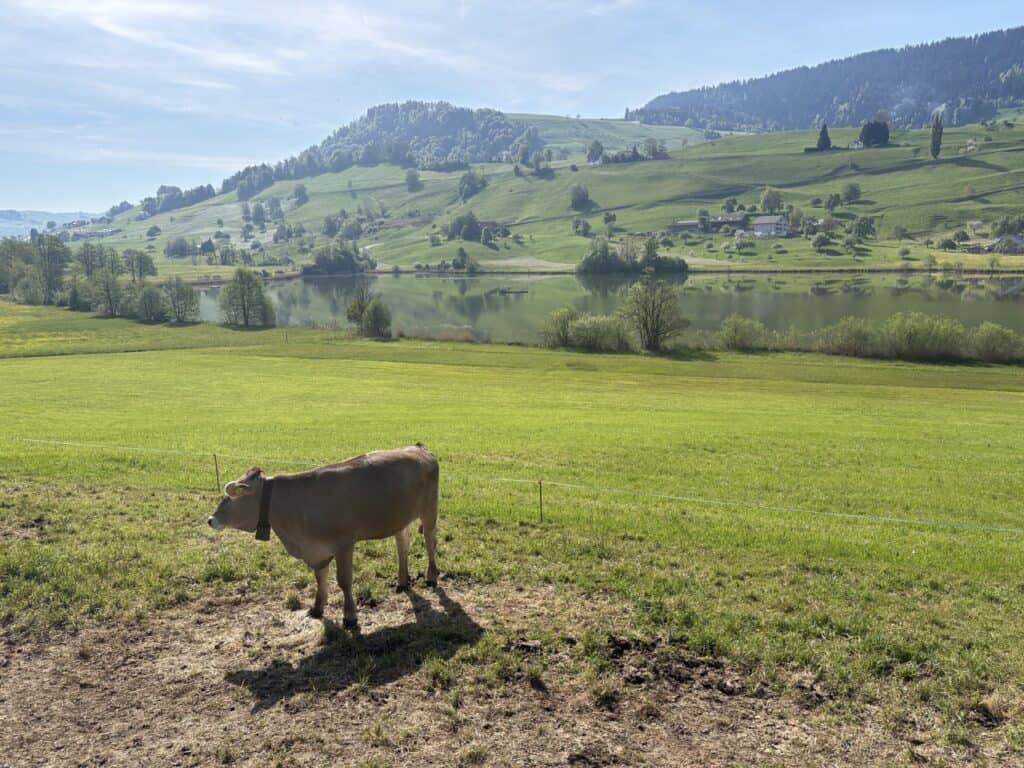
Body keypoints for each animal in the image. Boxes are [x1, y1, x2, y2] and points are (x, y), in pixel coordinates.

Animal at [208, 445, 439, 628]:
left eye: (230, 497)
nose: (211, 519)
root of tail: (419, 448)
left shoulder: (344, 544)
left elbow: (344, 581)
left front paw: (350, 616)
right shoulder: (316, 550)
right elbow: (320, 578)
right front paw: (317, 608)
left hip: (429, 510)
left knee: (430, 541)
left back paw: (431, 577)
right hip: (399, 517)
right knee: (403, 544)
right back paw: (402, 582)